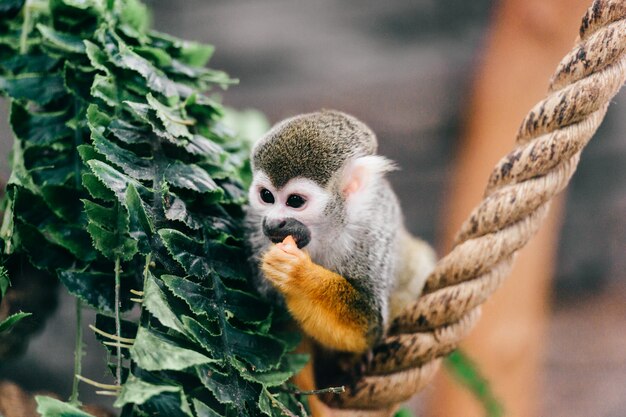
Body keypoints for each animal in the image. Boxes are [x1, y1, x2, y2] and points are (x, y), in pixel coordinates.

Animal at [244, 109, 434, 352]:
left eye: (295, 201)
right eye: (266, 196)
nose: (274, 223)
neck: (327, 230)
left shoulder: (370, 231)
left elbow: (368, 327)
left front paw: (298, 274)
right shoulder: (256, 229)